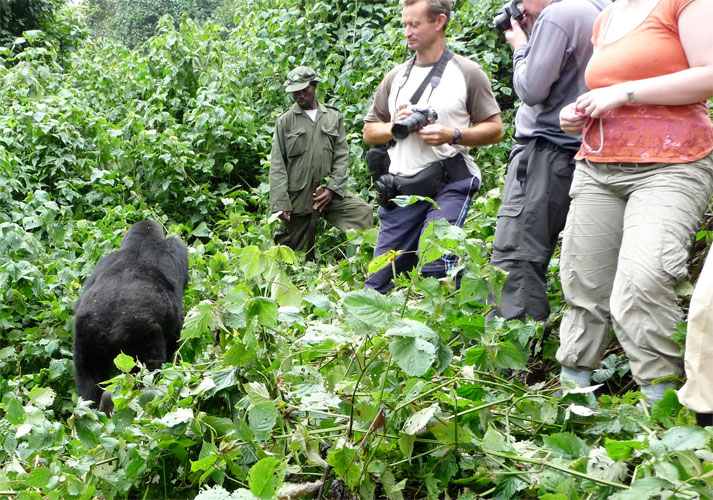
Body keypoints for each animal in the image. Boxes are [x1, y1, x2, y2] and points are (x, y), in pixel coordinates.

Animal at [73, 219, 188, 410]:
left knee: (88, 378)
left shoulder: (103, 260)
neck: (140, 244)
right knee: (146, 377)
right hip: (139, 335)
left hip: (86, 332)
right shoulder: (176, 247)